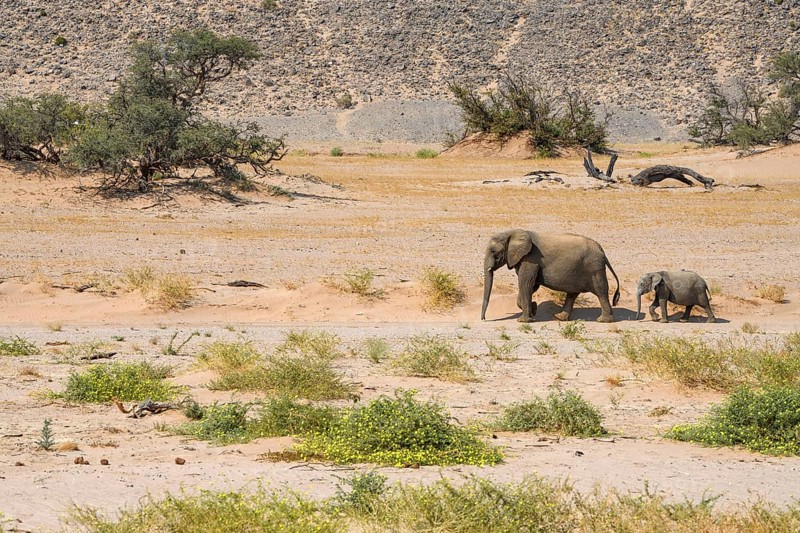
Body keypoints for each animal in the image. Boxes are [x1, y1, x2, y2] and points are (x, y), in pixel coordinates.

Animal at [481, 229, 620, 323]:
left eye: (493, 251)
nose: (483, 319)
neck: (512, 232)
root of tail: (602, 250)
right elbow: (532, 285)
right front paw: (534, 309)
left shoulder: (531, 259)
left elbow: (525, 283)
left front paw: (524, 320)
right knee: (572, 294)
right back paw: (559, 317)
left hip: (594, 268)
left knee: (601, 292)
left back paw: (603, 320)